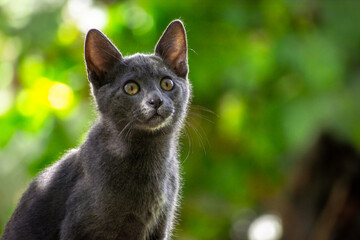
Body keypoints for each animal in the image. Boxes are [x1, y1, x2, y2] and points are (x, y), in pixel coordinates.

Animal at [2, 19, 191, 240]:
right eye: (131, 88)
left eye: (167, 83)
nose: (156, 101)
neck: (149, 156)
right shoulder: (79, 227)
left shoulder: (160, 226)